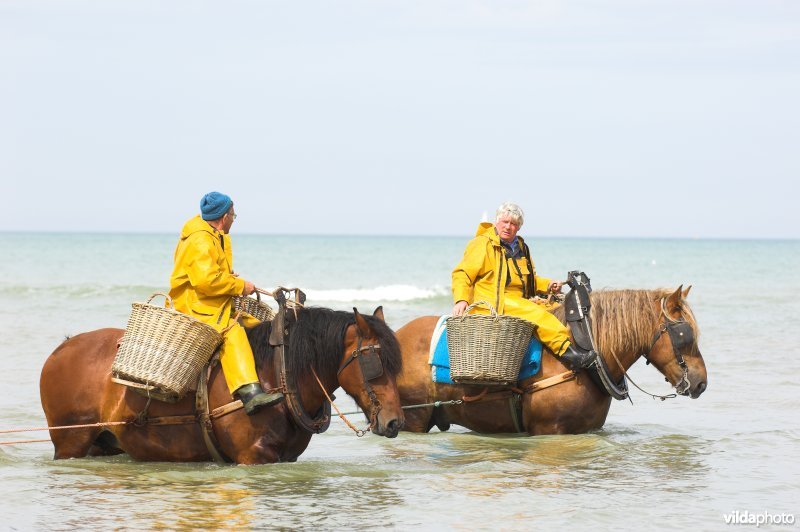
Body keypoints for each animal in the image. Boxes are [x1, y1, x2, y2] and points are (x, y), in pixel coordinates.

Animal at [40, 306, 404, 464]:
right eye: (374, 364)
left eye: (395, 365)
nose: (395, 421)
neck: (279, 376)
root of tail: (62, 348)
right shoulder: (253, 458)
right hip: (70, 442)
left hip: (102, 443)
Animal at [395, 286, 707, 435]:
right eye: (685, 334)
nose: (701, 382)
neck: (584, 353)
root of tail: (394, 336)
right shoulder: (549, 430)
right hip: (412, 418)